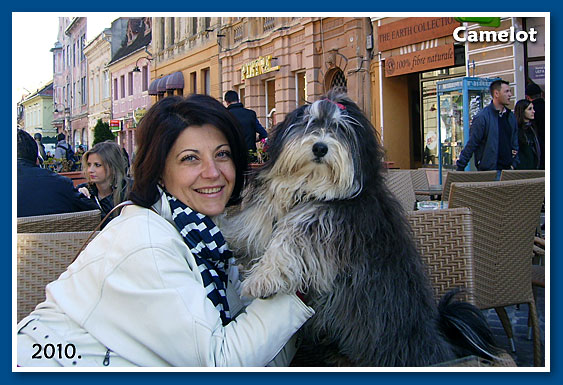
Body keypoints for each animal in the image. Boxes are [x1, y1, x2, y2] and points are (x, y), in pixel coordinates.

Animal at [223, 91, 500, 364]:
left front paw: (263, 278)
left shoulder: (334, 225)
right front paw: (229, 233)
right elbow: (257, 219)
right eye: (310, 123)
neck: (313, 187)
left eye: (341, 129)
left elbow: (292, 237)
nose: (320, 147)